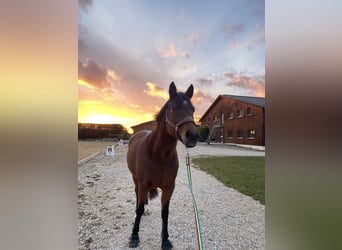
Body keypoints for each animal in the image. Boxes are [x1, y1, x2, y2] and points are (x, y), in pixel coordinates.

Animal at [127, 81, 198, 248]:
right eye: (173, 107)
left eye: (193, 110)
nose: (192, 136)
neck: (159, 156)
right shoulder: (143, 184)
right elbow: (139, 209)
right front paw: (134, 235)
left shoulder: (169, 187)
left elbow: (165, 213)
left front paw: (165, 239)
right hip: (135, 179)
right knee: (137, 195)